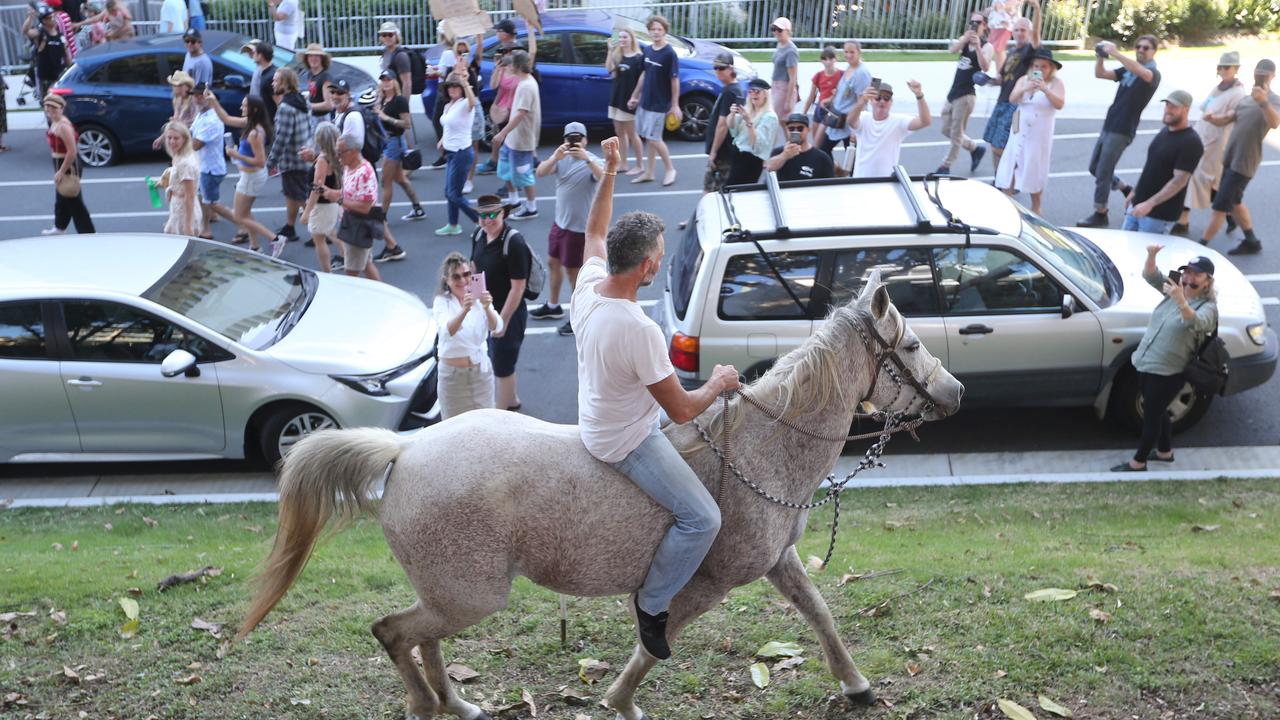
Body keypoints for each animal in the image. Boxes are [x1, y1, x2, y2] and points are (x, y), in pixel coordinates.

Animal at [238, 270, 962, 717]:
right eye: (911, 345)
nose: (954, 391)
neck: (761, 447)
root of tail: (407, 451)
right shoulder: (704, 583)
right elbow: (652, 641)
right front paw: (620, 700)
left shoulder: (776, 561)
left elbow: (821, 614)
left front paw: (857, 685)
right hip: (469, 594)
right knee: (394, 632)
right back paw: (425, 704)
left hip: (449, 593)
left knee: (424, 638)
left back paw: (458, 703)